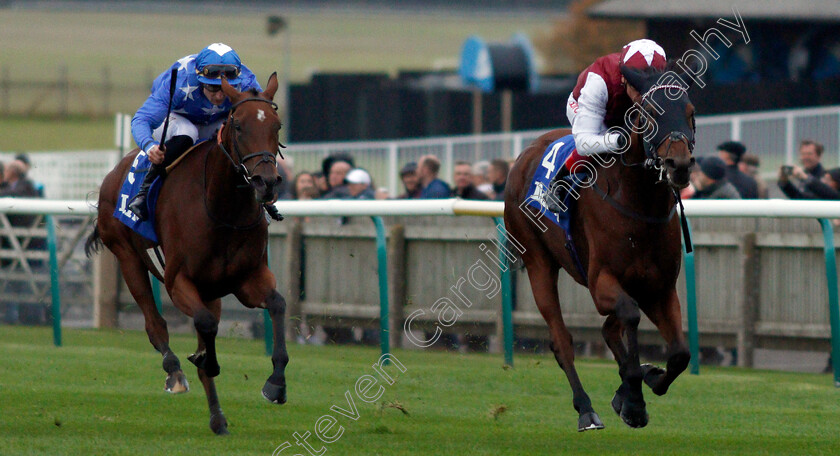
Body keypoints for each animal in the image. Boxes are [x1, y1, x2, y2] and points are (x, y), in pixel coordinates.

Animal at [85, 73, 288, 432]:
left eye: (276, 126)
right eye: (238, 126)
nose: (266, 182)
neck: (223, 208)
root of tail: (114, 171)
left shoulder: (247, 279)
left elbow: (277, 304)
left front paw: (276, 382)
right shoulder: (178, 280)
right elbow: (204, 325)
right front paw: (205, 360)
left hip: (211, 289)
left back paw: (218, 418)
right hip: (127, 257)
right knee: (155, 324)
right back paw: (175, 371)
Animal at [506, 64, 696, 432]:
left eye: (691, 113)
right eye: (651, 113)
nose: (679, 165)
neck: (639, 205)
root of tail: (526, 152)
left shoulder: (660, 289)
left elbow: (680, 354)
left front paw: (646, 381)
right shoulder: (601, 282)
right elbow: (630, 316)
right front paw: (634, 400)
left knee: (610, 329)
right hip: (538, 262)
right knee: (562, 340)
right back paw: (586, 409)